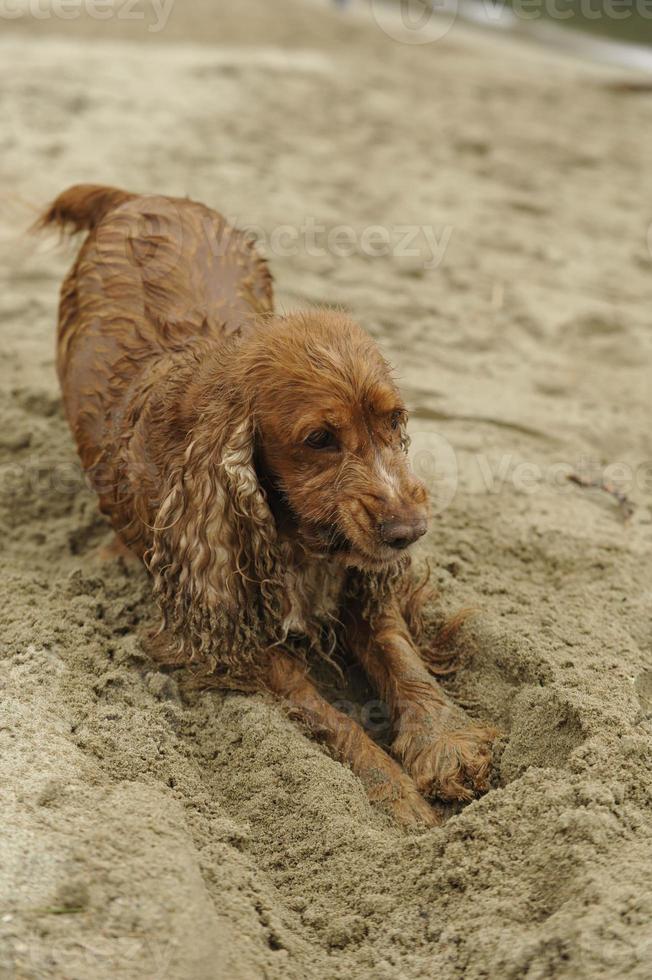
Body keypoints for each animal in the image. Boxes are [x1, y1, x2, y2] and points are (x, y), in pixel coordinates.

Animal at [39, 186, 494, 828]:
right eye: (319, 439)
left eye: (395, 419)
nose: (409, 530)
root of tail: (141, 197)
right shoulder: (229, 630)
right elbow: (330, 718)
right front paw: (397, 794)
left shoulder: (361, 583)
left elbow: (402, 656)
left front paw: (443, 742)